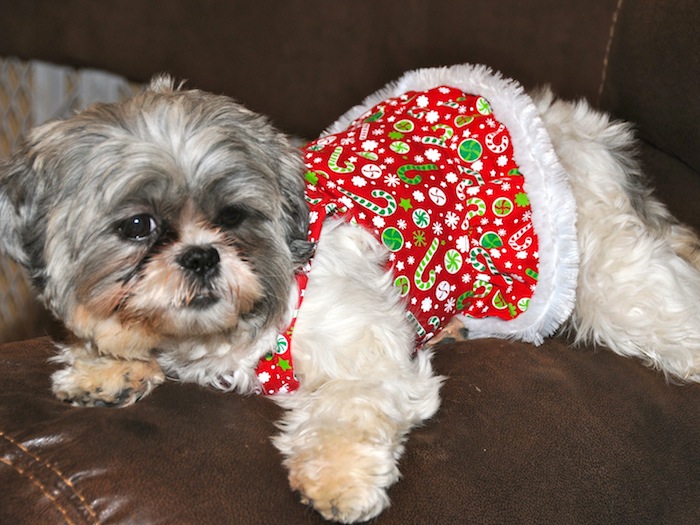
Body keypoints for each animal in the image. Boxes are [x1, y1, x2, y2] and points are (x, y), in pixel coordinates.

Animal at [4, 64, 700, 520]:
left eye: (233, 217)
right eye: (138, 226)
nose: (202, 257)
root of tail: (576, 126)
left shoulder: (366, 351)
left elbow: (347, 410)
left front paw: (338, 479)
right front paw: (105, 368)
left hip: (609, 275)